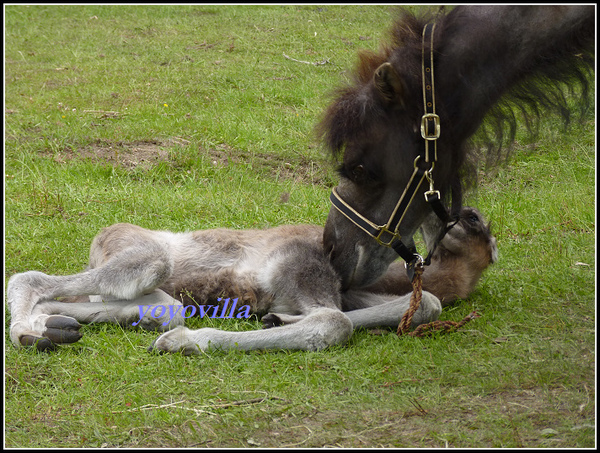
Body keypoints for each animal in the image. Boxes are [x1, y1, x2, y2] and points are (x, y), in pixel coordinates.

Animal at [7, 207, 496, 354]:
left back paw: (56, 327)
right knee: (28, 277)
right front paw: (186, 344)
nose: (450, 212)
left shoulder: (344, 291)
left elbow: (427, 302)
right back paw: (31, 333)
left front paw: (275, 319)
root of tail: (100, 237)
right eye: (473, 218)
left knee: (160, 307)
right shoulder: (298, 269)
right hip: (147, 255)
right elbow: (333, 323)